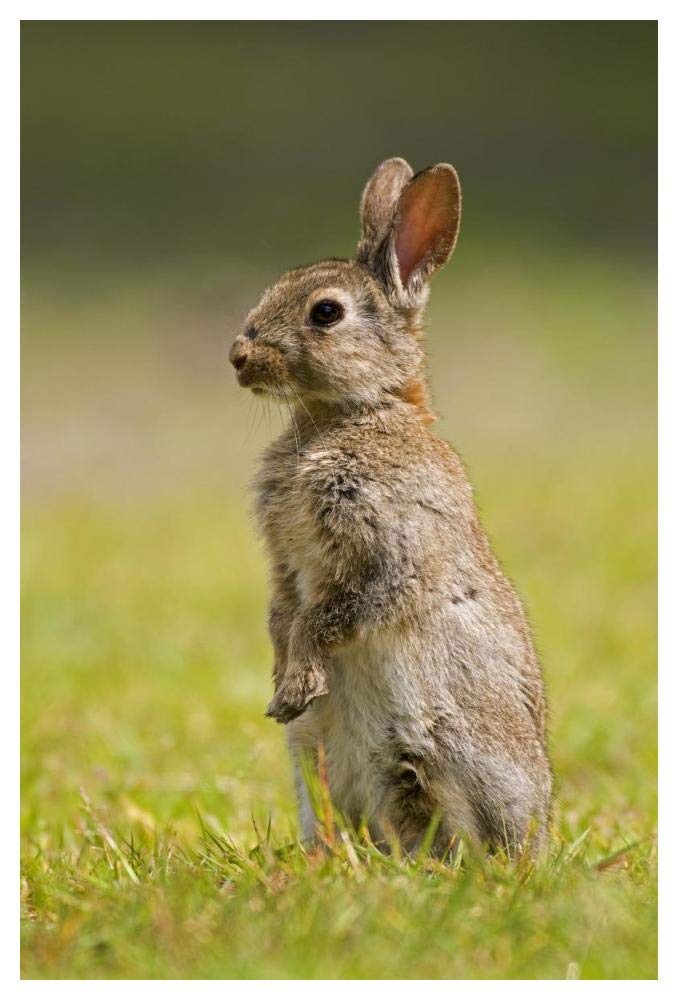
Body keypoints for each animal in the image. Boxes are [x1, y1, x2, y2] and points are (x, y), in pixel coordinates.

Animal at [228, 157, 551, 856]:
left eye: (326, 313)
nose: (239, 357)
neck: (357, 411)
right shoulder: (286, 565)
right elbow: (284, 613)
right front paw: (282, 684)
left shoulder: (387, 546)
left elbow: (331, 613)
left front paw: (297, 682)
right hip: (314, 759)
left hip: (434, 748)